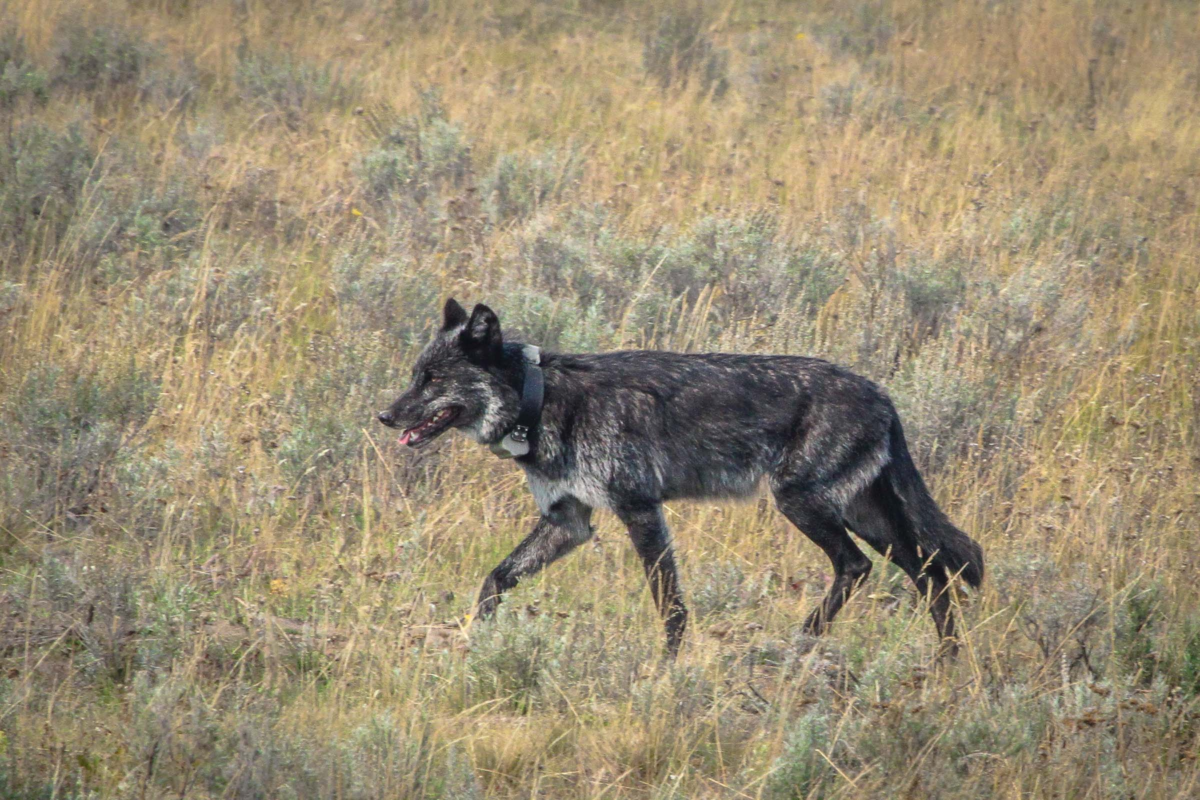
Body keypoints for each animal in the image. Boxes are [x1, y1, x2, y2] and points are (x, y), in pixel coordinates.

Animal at [377, 299, 984, 657]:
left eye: (433, 381)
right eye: (415, 376)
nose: (384, 416)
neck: (544, 399)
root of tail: (882, 396)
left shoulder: (640, 510)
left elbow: (669, 604)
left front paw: (665, 670)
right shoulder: (569, 522)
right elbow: (495, 579)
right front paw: (474, 641)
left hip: (802, 504)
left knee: (859, 568)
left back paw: (803, 642)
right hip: (863, 516)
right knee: (932, 574)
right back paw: (948, 665)